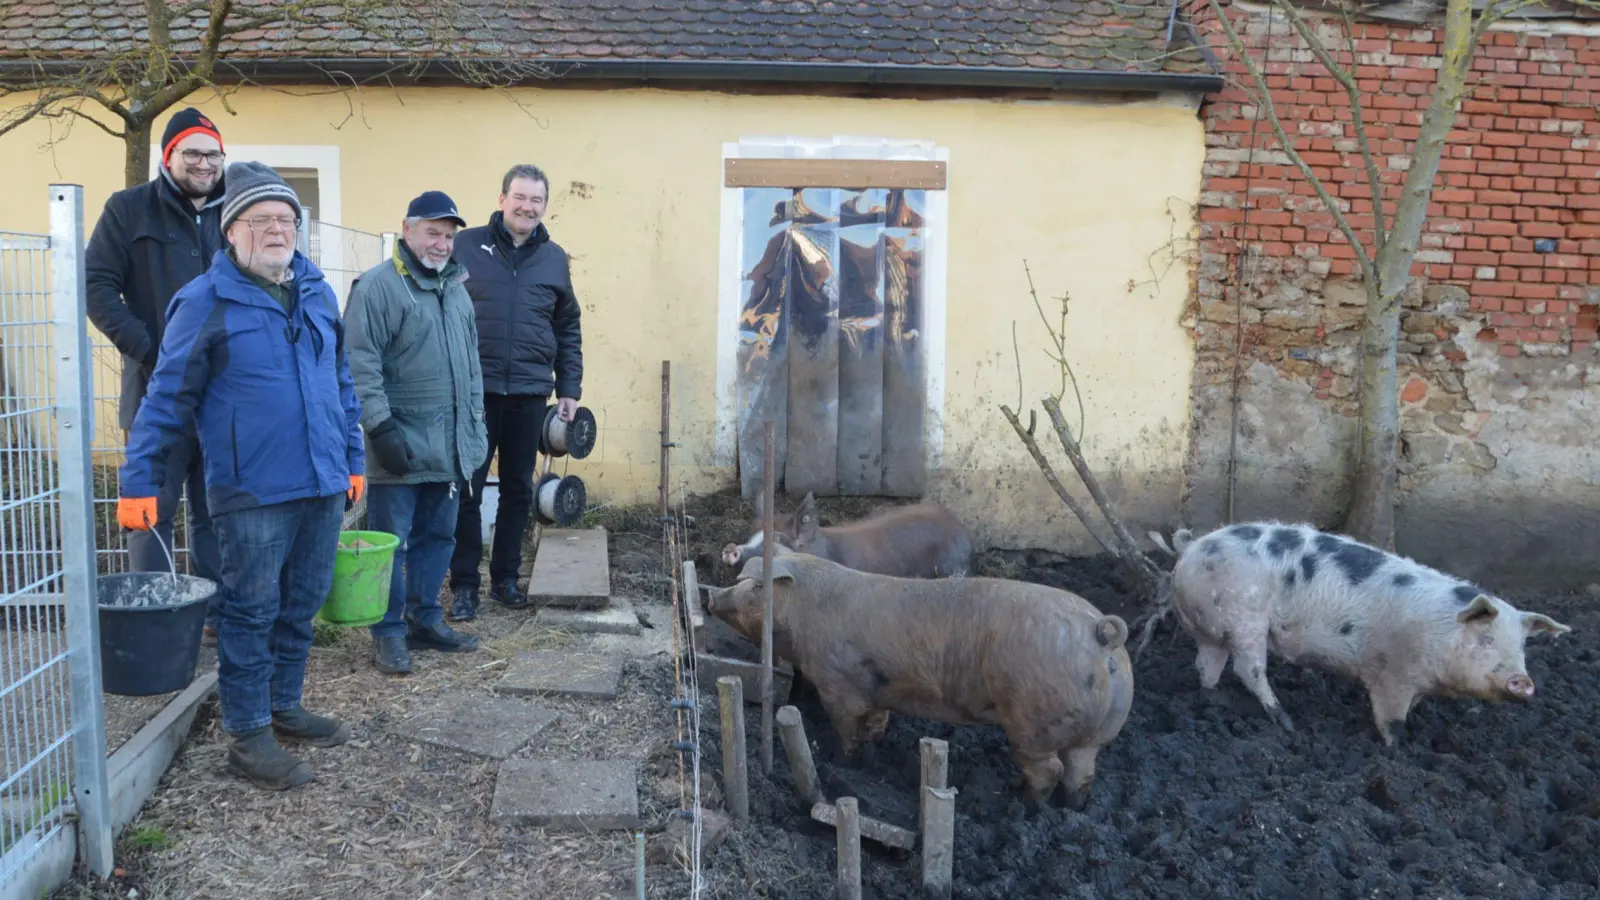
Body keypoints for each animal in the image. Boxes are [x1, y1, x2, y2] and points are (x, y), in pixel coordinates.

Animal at [704, 550, 1139, 810]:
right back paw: (1071, 809)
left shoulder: (837, 684)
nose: (711, 597)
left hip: (1035, 721)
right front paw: (870, 753)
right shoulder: (878, 691)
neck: (804, 612)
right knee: (1082, 771)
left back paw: (1022, 805)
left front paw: (841, 761)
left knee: (1048, 770)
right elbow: (876, 723)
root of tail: (1101, 632)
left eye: (756, 585)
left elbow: (846, 728)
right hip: (1096, 732)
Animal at [1158, 518, 1568, 743]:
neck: (1442, 634)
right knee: (1249, 669)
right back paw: (1286, 722)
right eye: (1486, 640)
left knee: (1207, 664)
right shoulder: (1395, 676)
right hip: (1245, 617)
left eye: (1522, 648)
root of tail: (1192, 549)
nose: (1523, 680)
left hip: (1212, 625)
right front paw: (1396, 751)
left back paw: (1212, 700)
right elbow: (1392, 720)